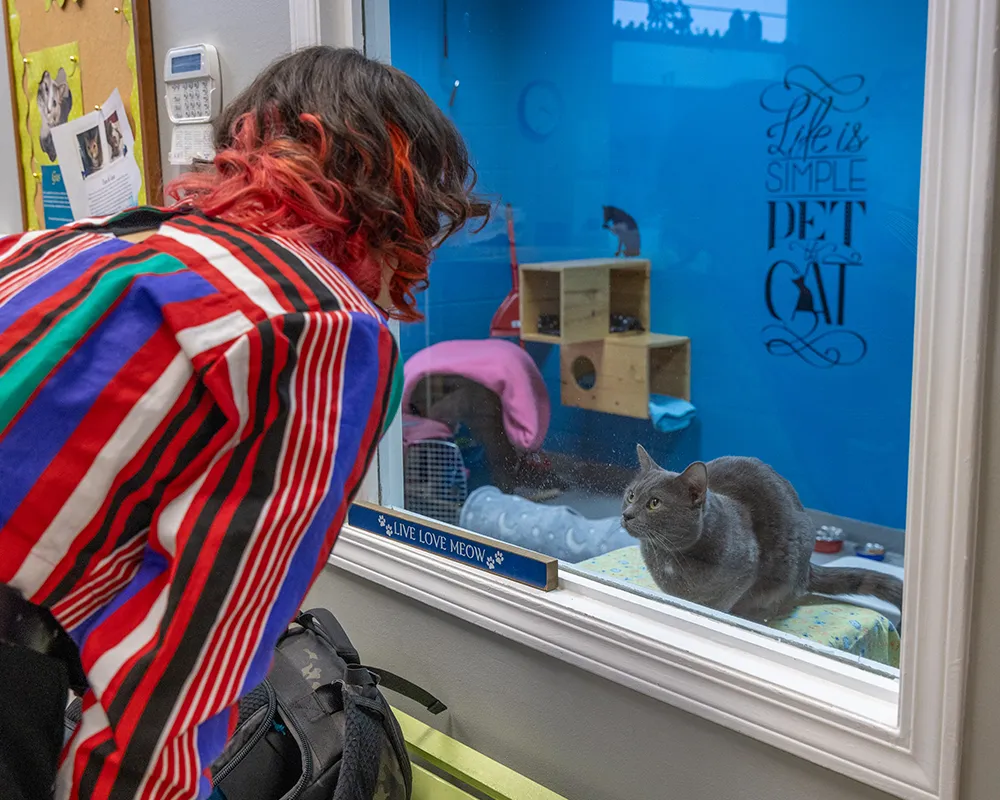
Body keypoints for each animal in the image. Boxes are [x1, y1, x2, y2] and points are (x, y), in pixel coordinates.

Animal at [620, 446, 904, 620]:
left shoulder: (742, 574)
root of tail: (808, 567)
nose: (626, 514)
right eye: (631, 495)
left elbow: (718, 604)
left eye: (654, 503)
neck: (668, 555)